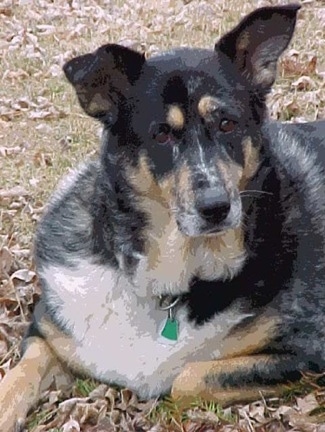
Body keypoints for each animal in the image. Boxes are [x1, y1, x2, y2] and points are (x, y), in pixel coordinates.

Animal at [0, 2, 324, 428]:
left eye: (227, 123)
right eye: (161, 134)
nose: (216, 207)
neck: (175, 277)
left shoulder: (307, 350)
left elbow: (185, 377)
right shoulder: (46, 332)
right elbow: (19, 374)